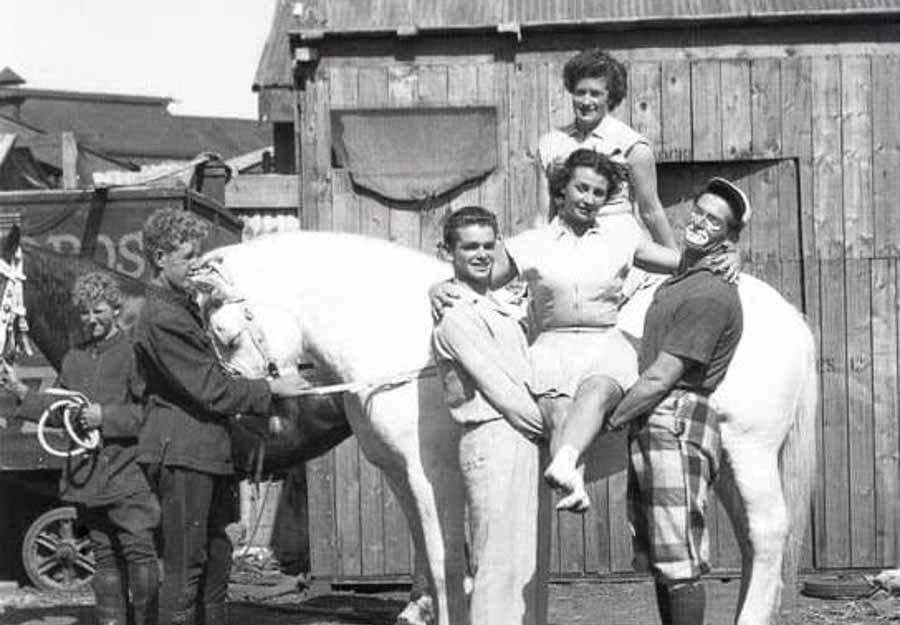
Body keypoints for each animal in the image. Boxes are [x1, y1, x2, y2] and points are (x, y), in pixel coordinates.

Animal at [193, 229, 820, 624]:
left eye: (225, 333)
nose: (251, 417)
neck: (405, 329)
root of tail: (790, 319)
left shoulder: (431, 474)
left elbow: (445, 558)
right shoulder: (400, 474)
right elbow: (427, 552)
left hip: (748, 449)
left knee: (767, 533)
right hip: (725, 459)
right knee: (749, 542)